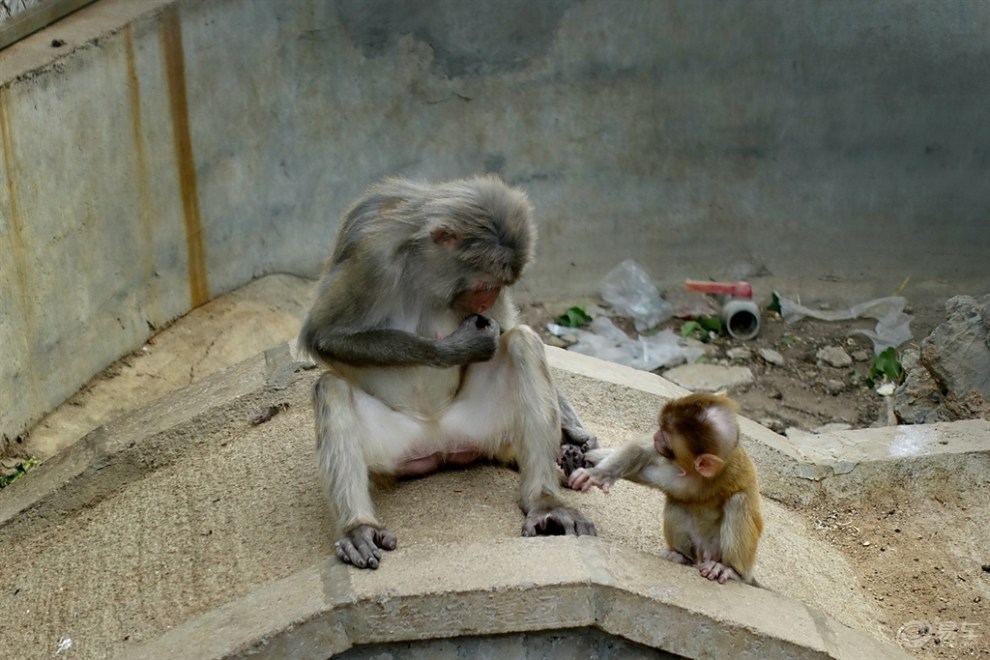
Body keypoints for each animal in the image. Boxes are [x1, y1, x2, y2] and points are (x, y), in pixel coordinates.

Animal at [300, 174, 596, 568]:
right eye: (485, 283)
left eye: (499, 286)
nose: (487, 301)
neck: (424, 271)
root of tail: (439, 440)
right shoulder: (370, 256)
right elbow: (323, 336)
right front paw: (454, 349)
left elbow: (507, 328)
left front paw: (573, 435)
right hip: (391, 449)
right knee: (330, 387)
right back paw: (358, 526)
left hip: (483, 427)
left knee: (523, 342)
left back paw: (544, 502)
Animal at [568, 392, 764, 584]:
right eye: (661, 429)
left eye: (665, 436)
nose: (656, 435)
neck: (696, 472)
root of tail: (704, 554)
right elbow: (642, 451)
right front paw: (597, 471)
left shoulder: (692, 479)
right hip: (696, 548)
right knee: (678, 503)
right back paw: (682, 557)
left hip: (721, 553)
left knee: (738, 501)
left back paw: (731, 571)